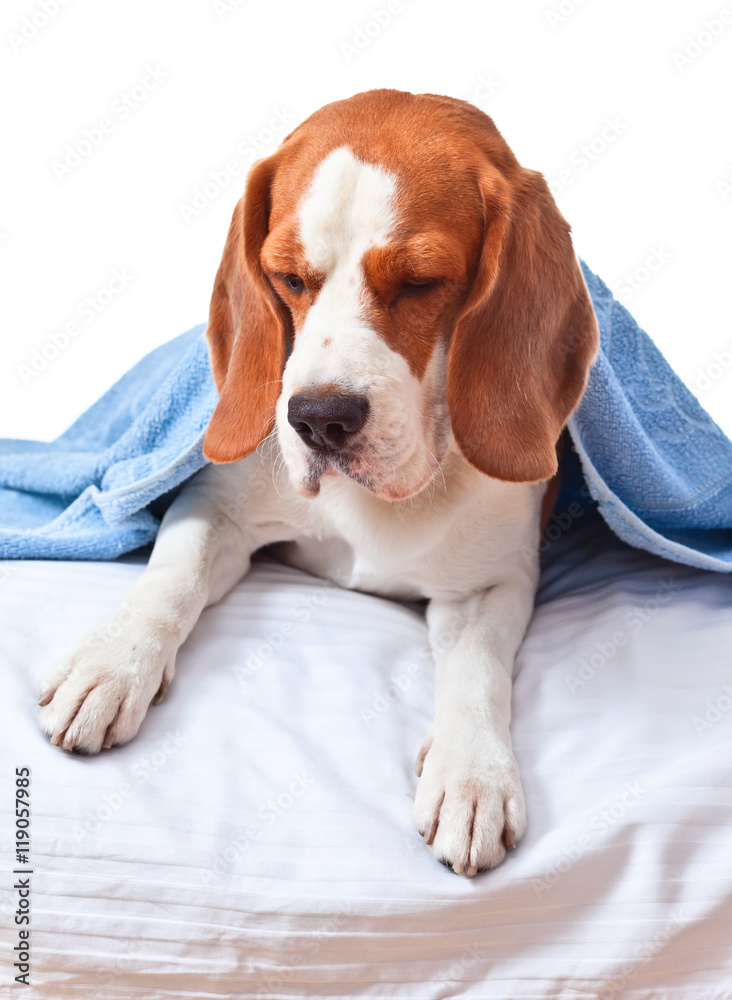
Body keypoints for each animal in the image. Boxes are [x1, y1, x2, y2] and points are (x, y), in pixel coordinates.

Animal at [37, 92, 596, 876]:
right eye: (290, 279)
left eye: (421, 282)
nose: (319, 419)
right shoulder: (213, 509)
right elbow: (170, 580)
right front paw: (110, 664)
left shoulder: (496, 582)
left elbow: (478, 668)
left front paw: (473, 772)